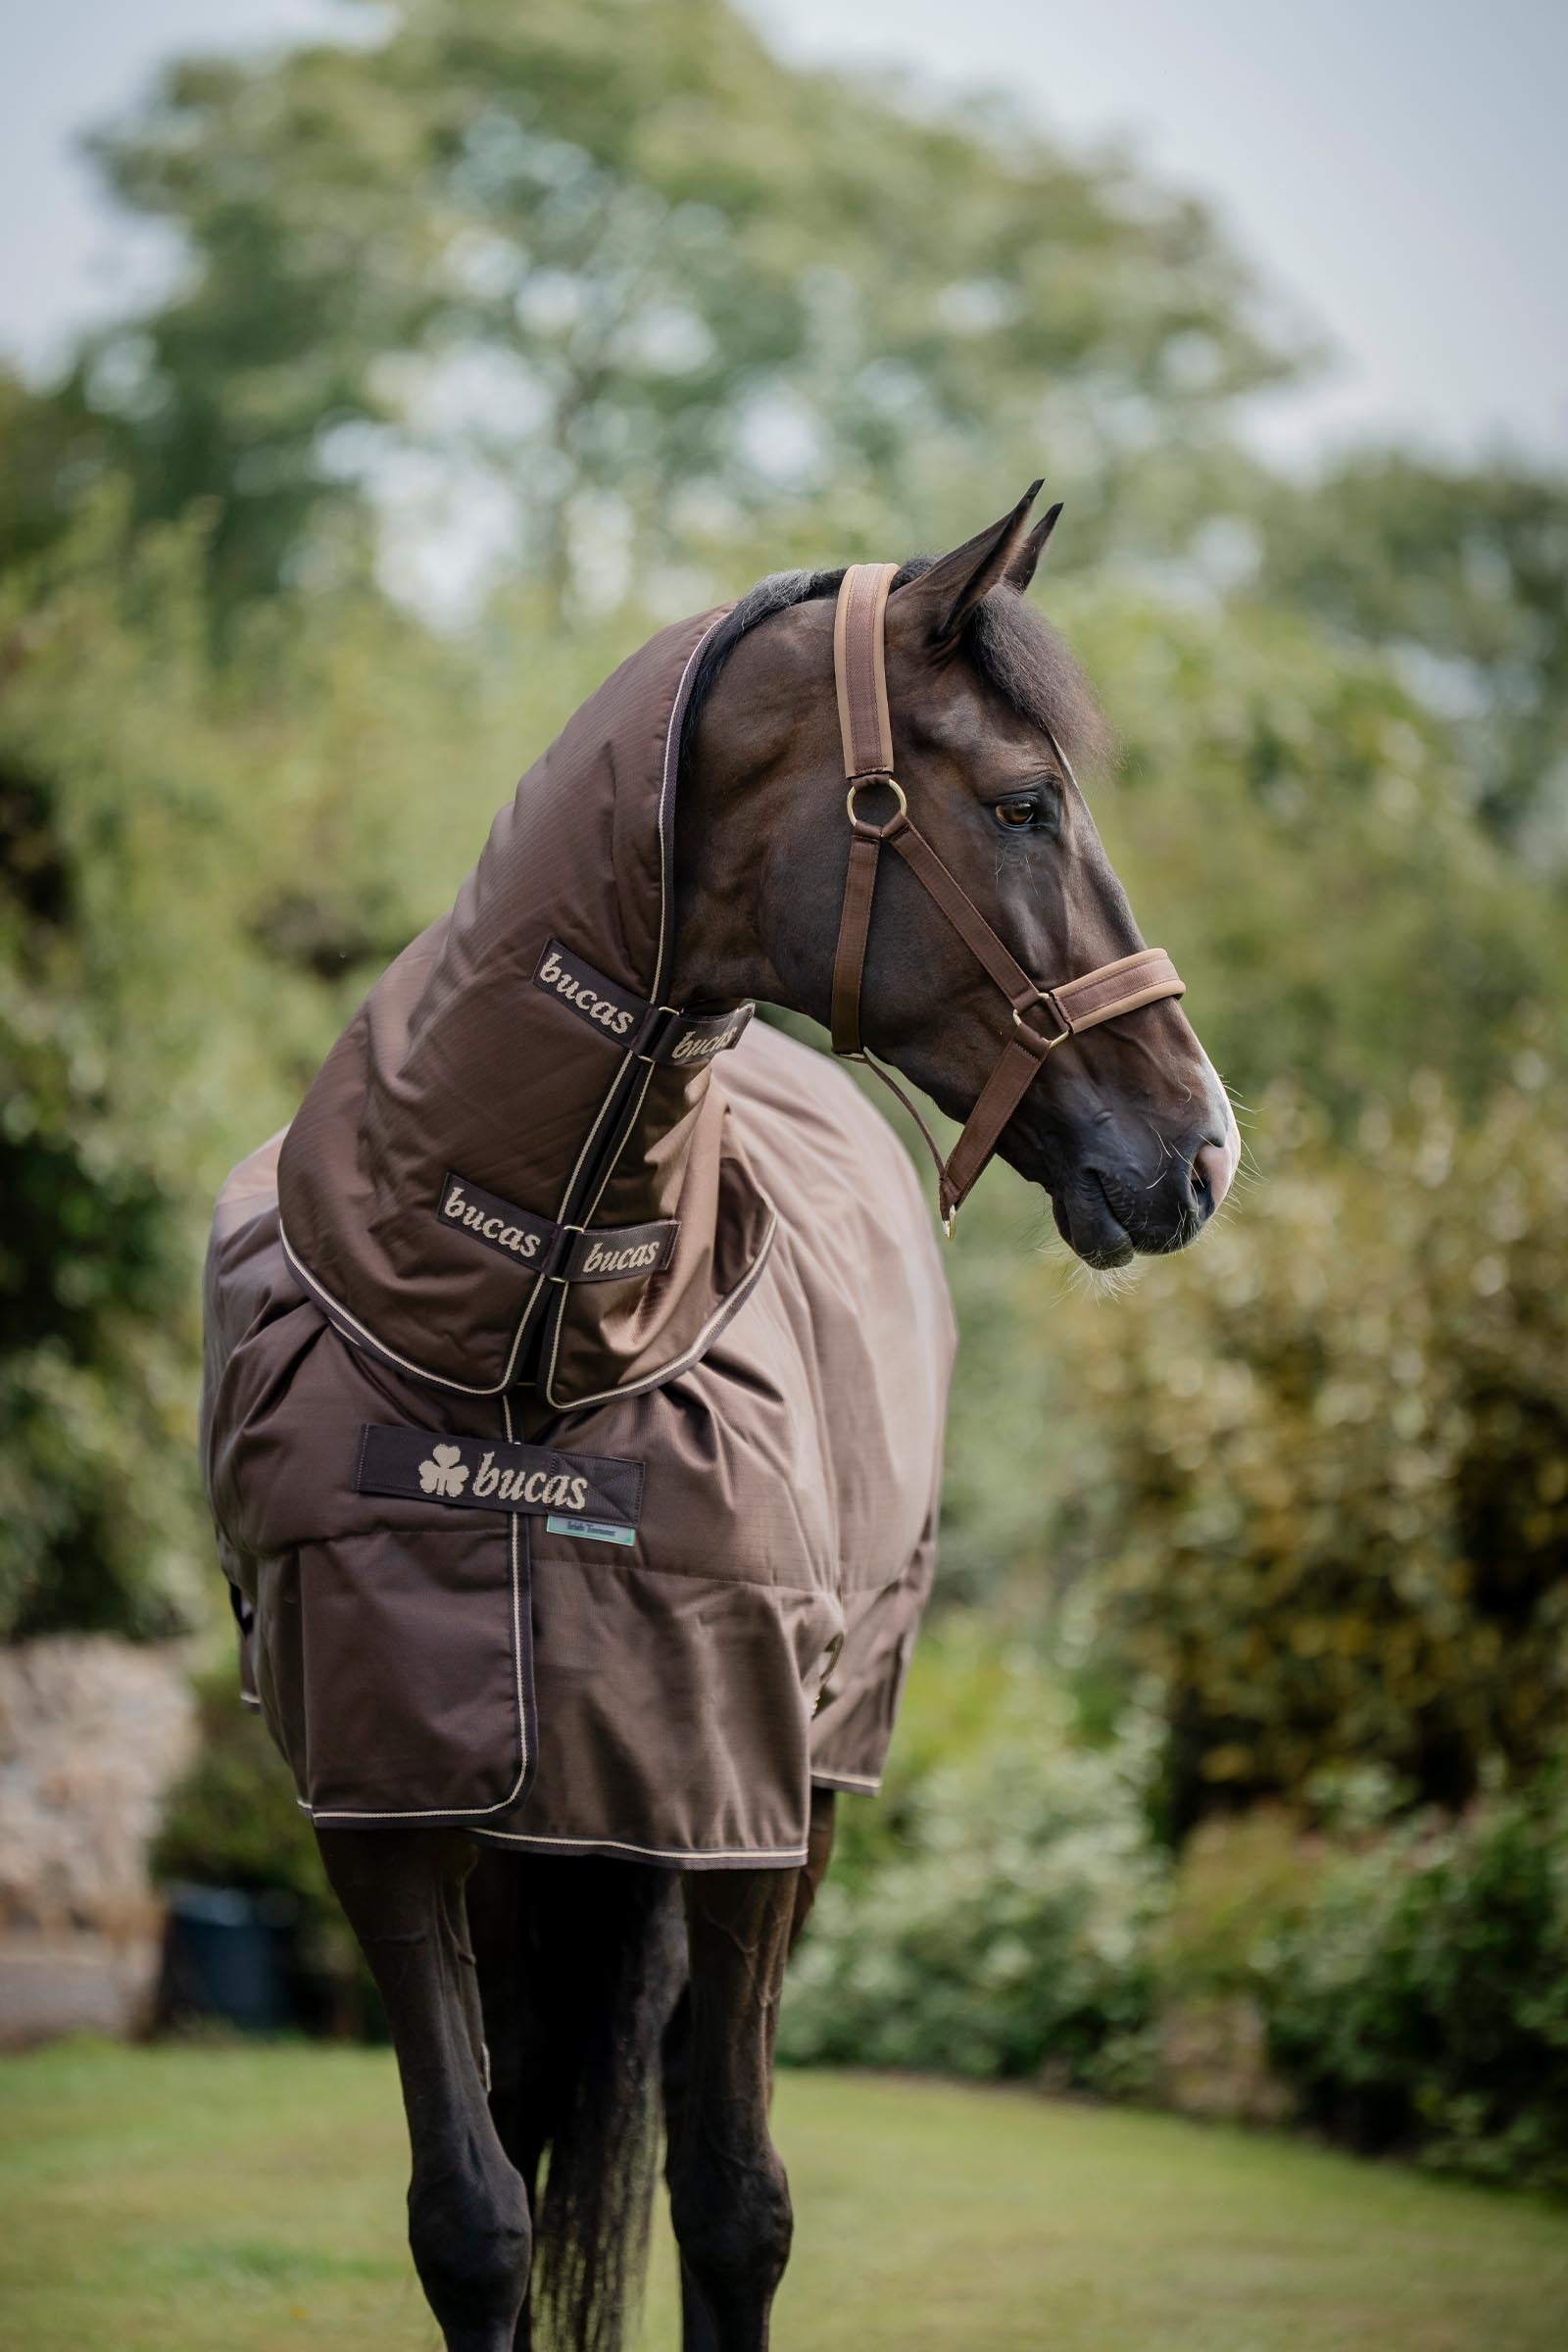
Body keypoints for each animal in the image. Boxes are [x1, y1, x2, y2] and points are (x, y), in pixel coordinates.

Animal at [200, 482, 1237, 2352]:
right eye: (1026, 802)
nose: (1201, 1152)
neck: (536, 1369)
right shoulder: (385, 1801)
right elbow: (475, 2220)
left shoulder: (743, 1796)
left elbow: (737, 2205)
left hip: (798, 1786)